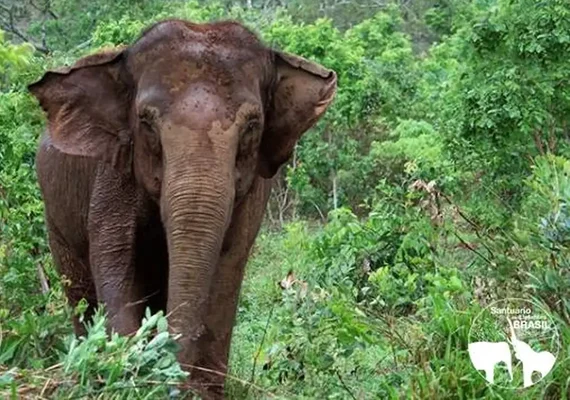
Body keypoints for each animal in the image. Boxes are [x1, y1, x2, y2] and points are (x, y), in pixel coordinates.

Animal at [28, 18, 336, 396]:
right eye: (146, 122)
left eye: (252, 126)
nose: (173, 380)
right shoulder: (114, 172)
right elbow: (115, 258)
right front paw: (129, 373)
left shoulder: (253, 191)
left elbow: (228, 264)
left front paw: (201, 390)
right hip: (55, 219)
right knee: (79, 292)